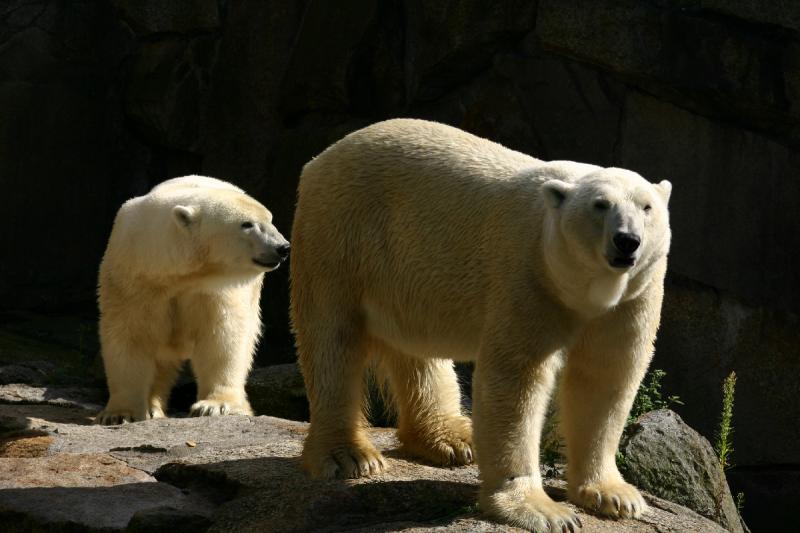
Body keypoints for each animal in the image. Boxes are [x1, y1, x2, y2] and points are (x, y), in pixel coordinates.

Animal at [94, 175, 288, 424]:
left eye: (270, 219)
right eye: (246, 224)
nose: (282, 247)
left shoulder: (216, 289)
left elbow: (222, 338)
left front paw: (215, 406)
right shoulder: (134, 278)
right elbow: (129, 335)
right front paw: (119, 414)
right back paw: (152, 408)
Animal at [290, 120, 672, 532]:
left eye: (647, 207)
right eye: (600, 205)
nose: (627, 241)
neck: (583, 290)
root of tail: (320, 158)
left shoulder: (634, 296)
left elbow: (606, 377)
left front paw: (615, 496)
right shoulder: (529, 272)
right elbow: (517, 380)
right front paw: (543, 510)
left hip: (405, 274)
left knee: (417, 349)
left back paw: (453, 439)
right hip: (340, 234)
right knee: (333, 339)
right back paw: (349, 456)